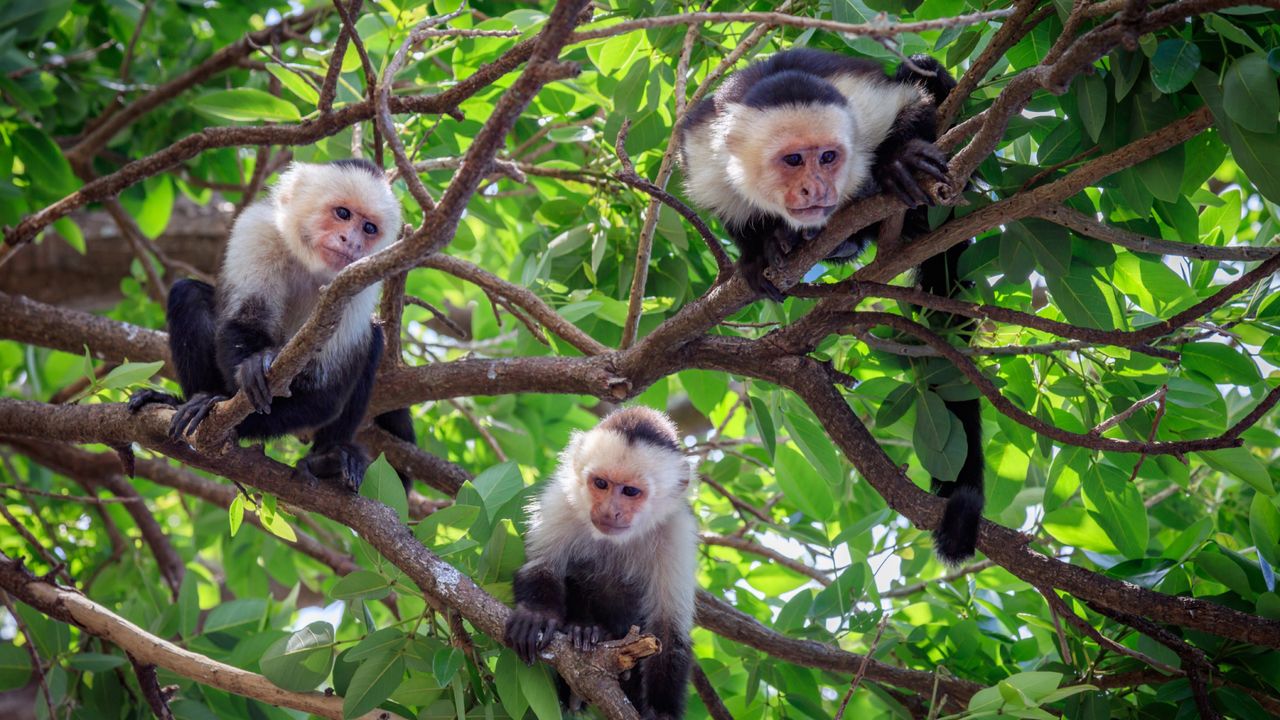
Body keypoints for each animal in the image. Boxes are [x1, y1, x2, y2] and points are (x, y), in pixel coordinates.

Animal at [128, 159, 416, 491]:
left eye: (369, 228)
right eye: (343, 213)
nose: (352, 241)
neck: (310, 264)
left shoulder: (361, 282)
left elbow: (325, 395)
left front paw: (226, 414)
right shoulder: (258, 229)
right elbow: (243, 321)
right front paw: (249, 369)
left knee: (372, 342)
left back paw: (329, 459)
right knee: (188, 294)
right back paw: (187, 399)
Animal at [506, 407, 697, 719]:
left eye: (630, 491)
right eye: (601, 484)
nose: (609, 511)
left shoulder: (676, 532)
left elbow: (669, 630)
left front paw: (661, 712)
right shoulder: (561, 502)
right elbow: (542, 566)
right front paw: (538, 615)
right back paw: (584, 630)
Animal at [677, 48, 983, 564]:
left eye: (827, 157)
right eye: (793, 160)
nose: (817, 189)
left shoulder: (861, 109)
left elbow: (912, 103)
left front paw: (898, 157)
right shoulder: (704, 150)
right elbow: (729, 206)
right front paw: (759, 251)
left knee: (922, 69)